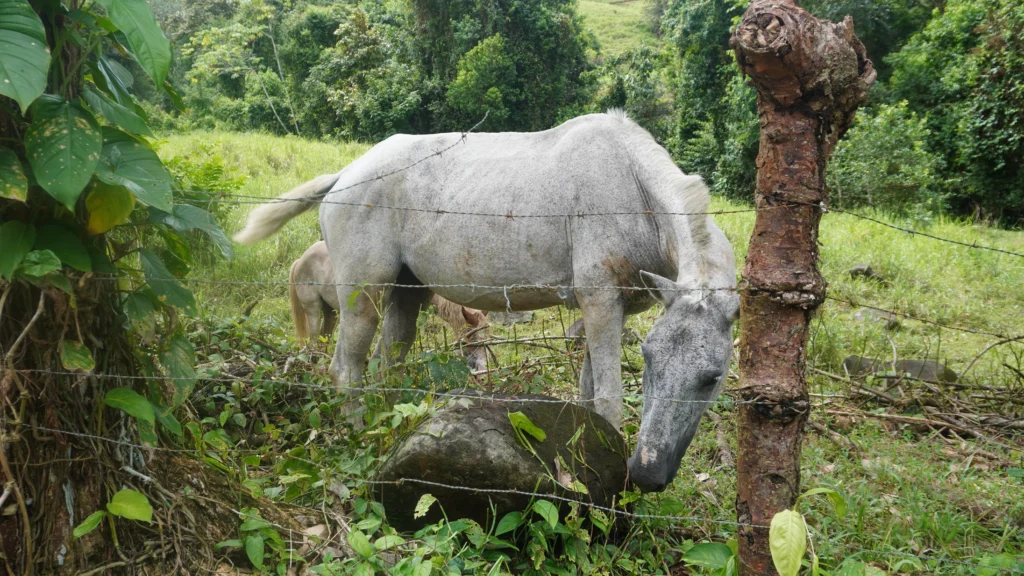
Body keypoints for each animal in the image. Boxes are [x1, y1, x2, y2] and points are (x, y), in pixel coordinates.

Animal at [286, 239, 489, 368]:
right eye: (471, 340)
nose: (482, 372)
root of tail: (300, 260)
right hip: (313, 310)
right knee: (312, 340)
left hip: (331, 313)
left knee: (323, 339)